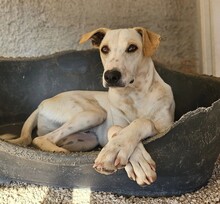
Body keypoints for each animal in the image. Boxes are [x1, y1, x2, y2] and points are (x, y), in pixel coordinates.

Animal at [0, 27, 175, 186]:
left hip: (88, 138)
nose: (111, 75)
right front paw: (128, 157)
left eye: (132, 48)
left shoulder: (165, 126)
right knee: (41, 138)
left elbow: (143, 122)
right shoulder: (115, 125)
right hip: (93, 114)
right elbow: (117, 129)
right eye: (104, 49)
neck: (134, 96)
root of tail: (41, 105)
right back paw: (60, 155)